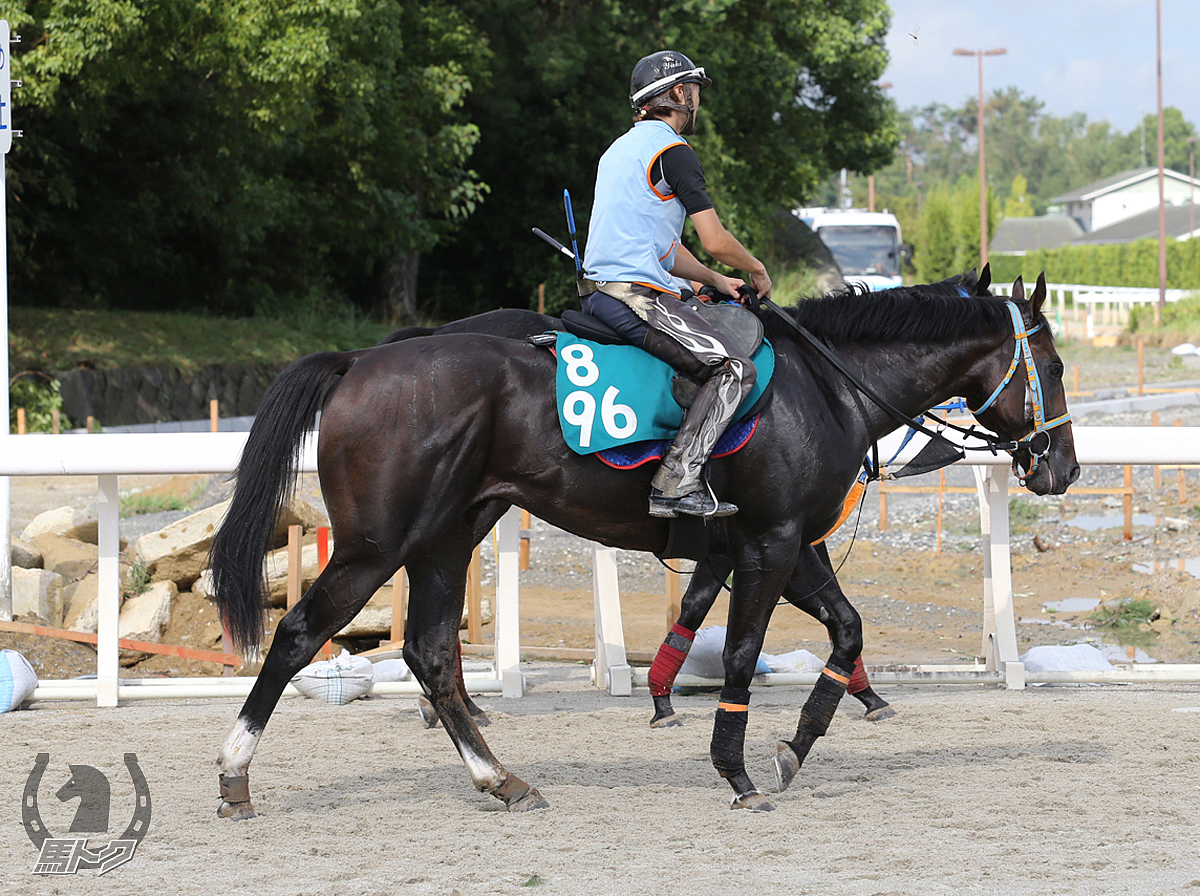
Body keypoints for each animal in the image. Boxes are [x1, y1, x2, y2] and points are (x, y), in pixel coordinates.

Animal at [211, 269, 1084, 815]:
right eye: (1054, 365)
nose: (1064, 467)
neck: (827, 385)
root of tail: (363, 359)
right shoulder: (769, 543)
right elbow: (742, 653)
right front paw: (735, 770)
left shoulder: (787, 545)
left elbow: (846, 629)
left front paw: (800, 742)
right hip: (376, 542)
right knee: (299, 634)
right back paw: (235, 773)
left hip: (443, 540)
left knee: (429, 652)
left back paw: (502, 779)